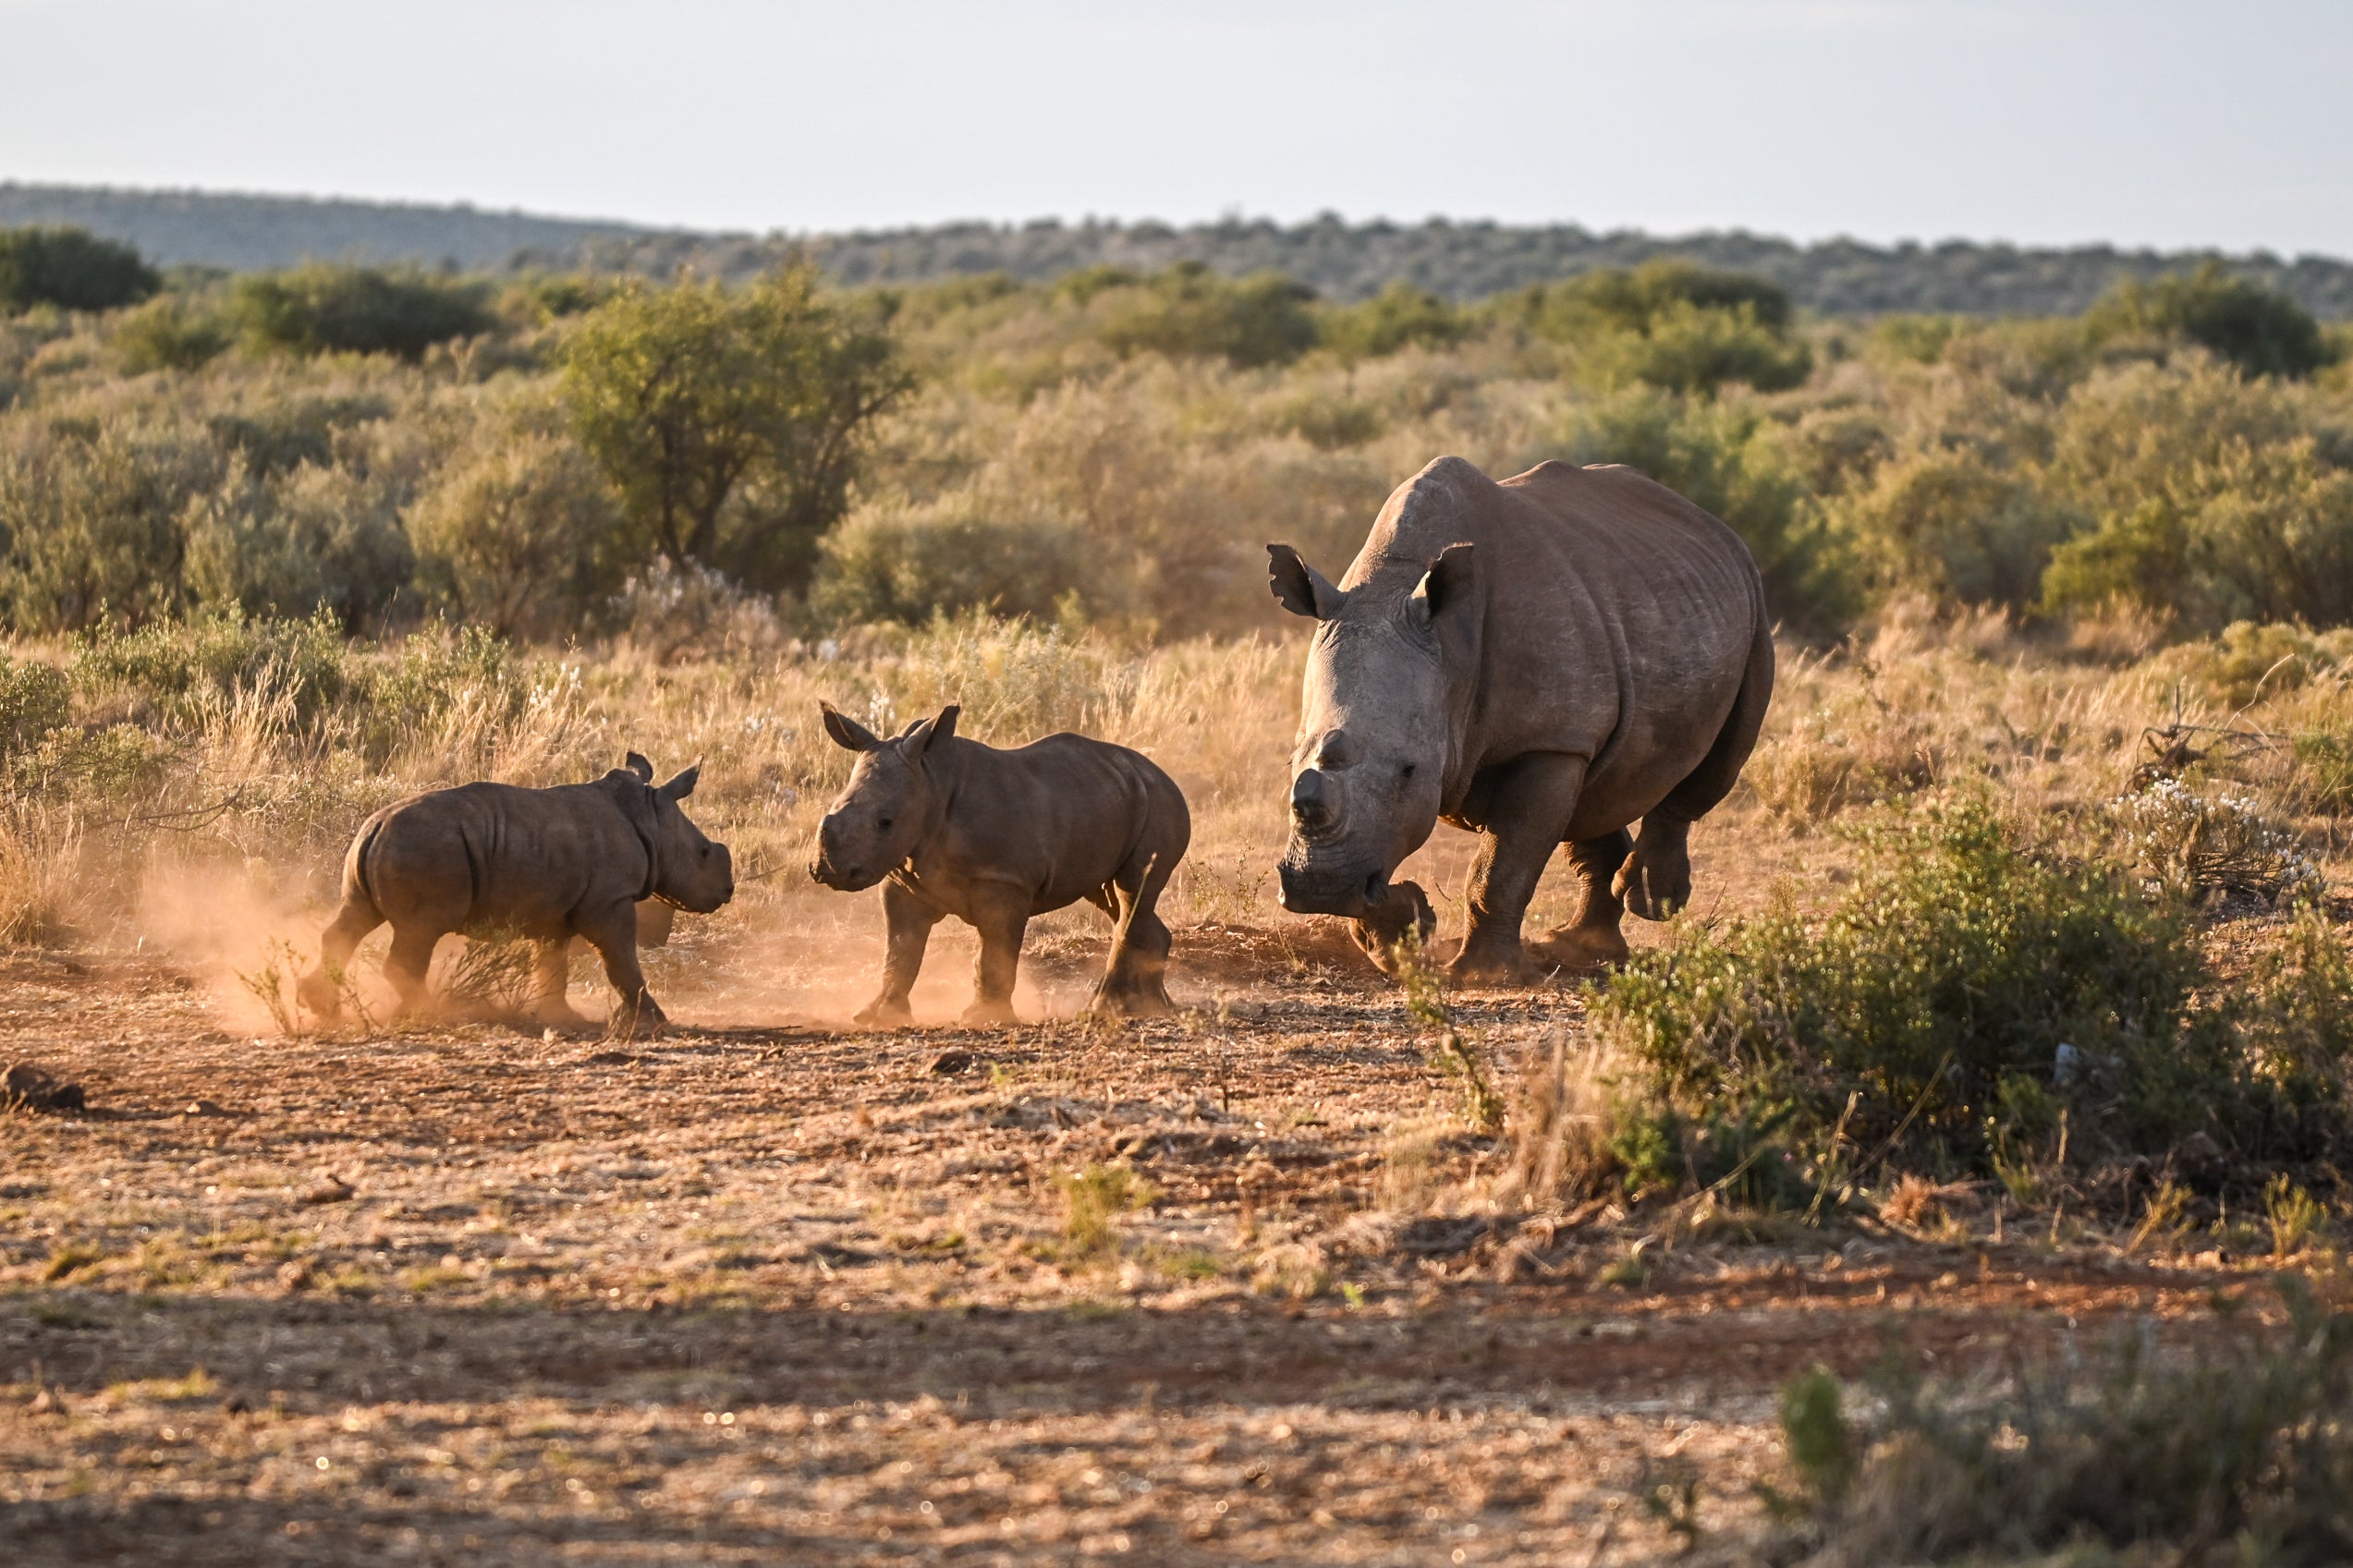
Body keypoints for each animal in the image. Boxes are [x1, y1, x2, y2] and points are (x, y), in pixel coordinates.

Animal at [297, 754, 733, 1029]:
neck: (650, 819)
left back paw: (322, 1008)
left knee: (353, 919)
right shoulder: (610, 900)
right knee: (418, 933)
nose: (728, 891)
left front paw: (563, 1018)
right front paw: (656, 1019)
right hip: (424, 849)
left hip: (375, 849)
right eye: (704, 853)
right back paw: (431, 1012)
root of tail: (376, 826)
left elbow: (552, 965)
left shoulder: (557, 911)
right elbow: (620, 959)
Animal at [809, 703, 1191, 1024]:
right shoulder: (903, 879)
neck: (931, 780)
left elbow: (994, 952)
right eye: (832, 809)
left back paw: (1105, 1008)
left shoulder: (1004, 880)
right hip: (1111, 795)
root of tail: (1161, 774)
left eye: (885, 823)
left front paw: (983, 1018)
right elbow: (901, 949)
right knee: (1116, 898)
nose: (826, 870)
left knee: (1132, 890)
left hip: (1159, 801)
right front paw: (877, 1016)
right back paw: (1153, 1006)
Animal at [1268, 455, 1773, 982]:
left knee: (1719, 759)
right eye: (1291, 761)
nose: (1321, 887)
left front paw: (1483, 974)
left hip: (1751, 612)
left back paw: (1650, 903)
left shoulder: (1547, 741)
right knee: (1595, 792)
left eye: (1410, 771)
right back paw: (1581, 947)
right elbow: (1388, 851)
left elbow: (1503, 865)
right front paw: (1405, 925)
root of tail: (1714, 526)